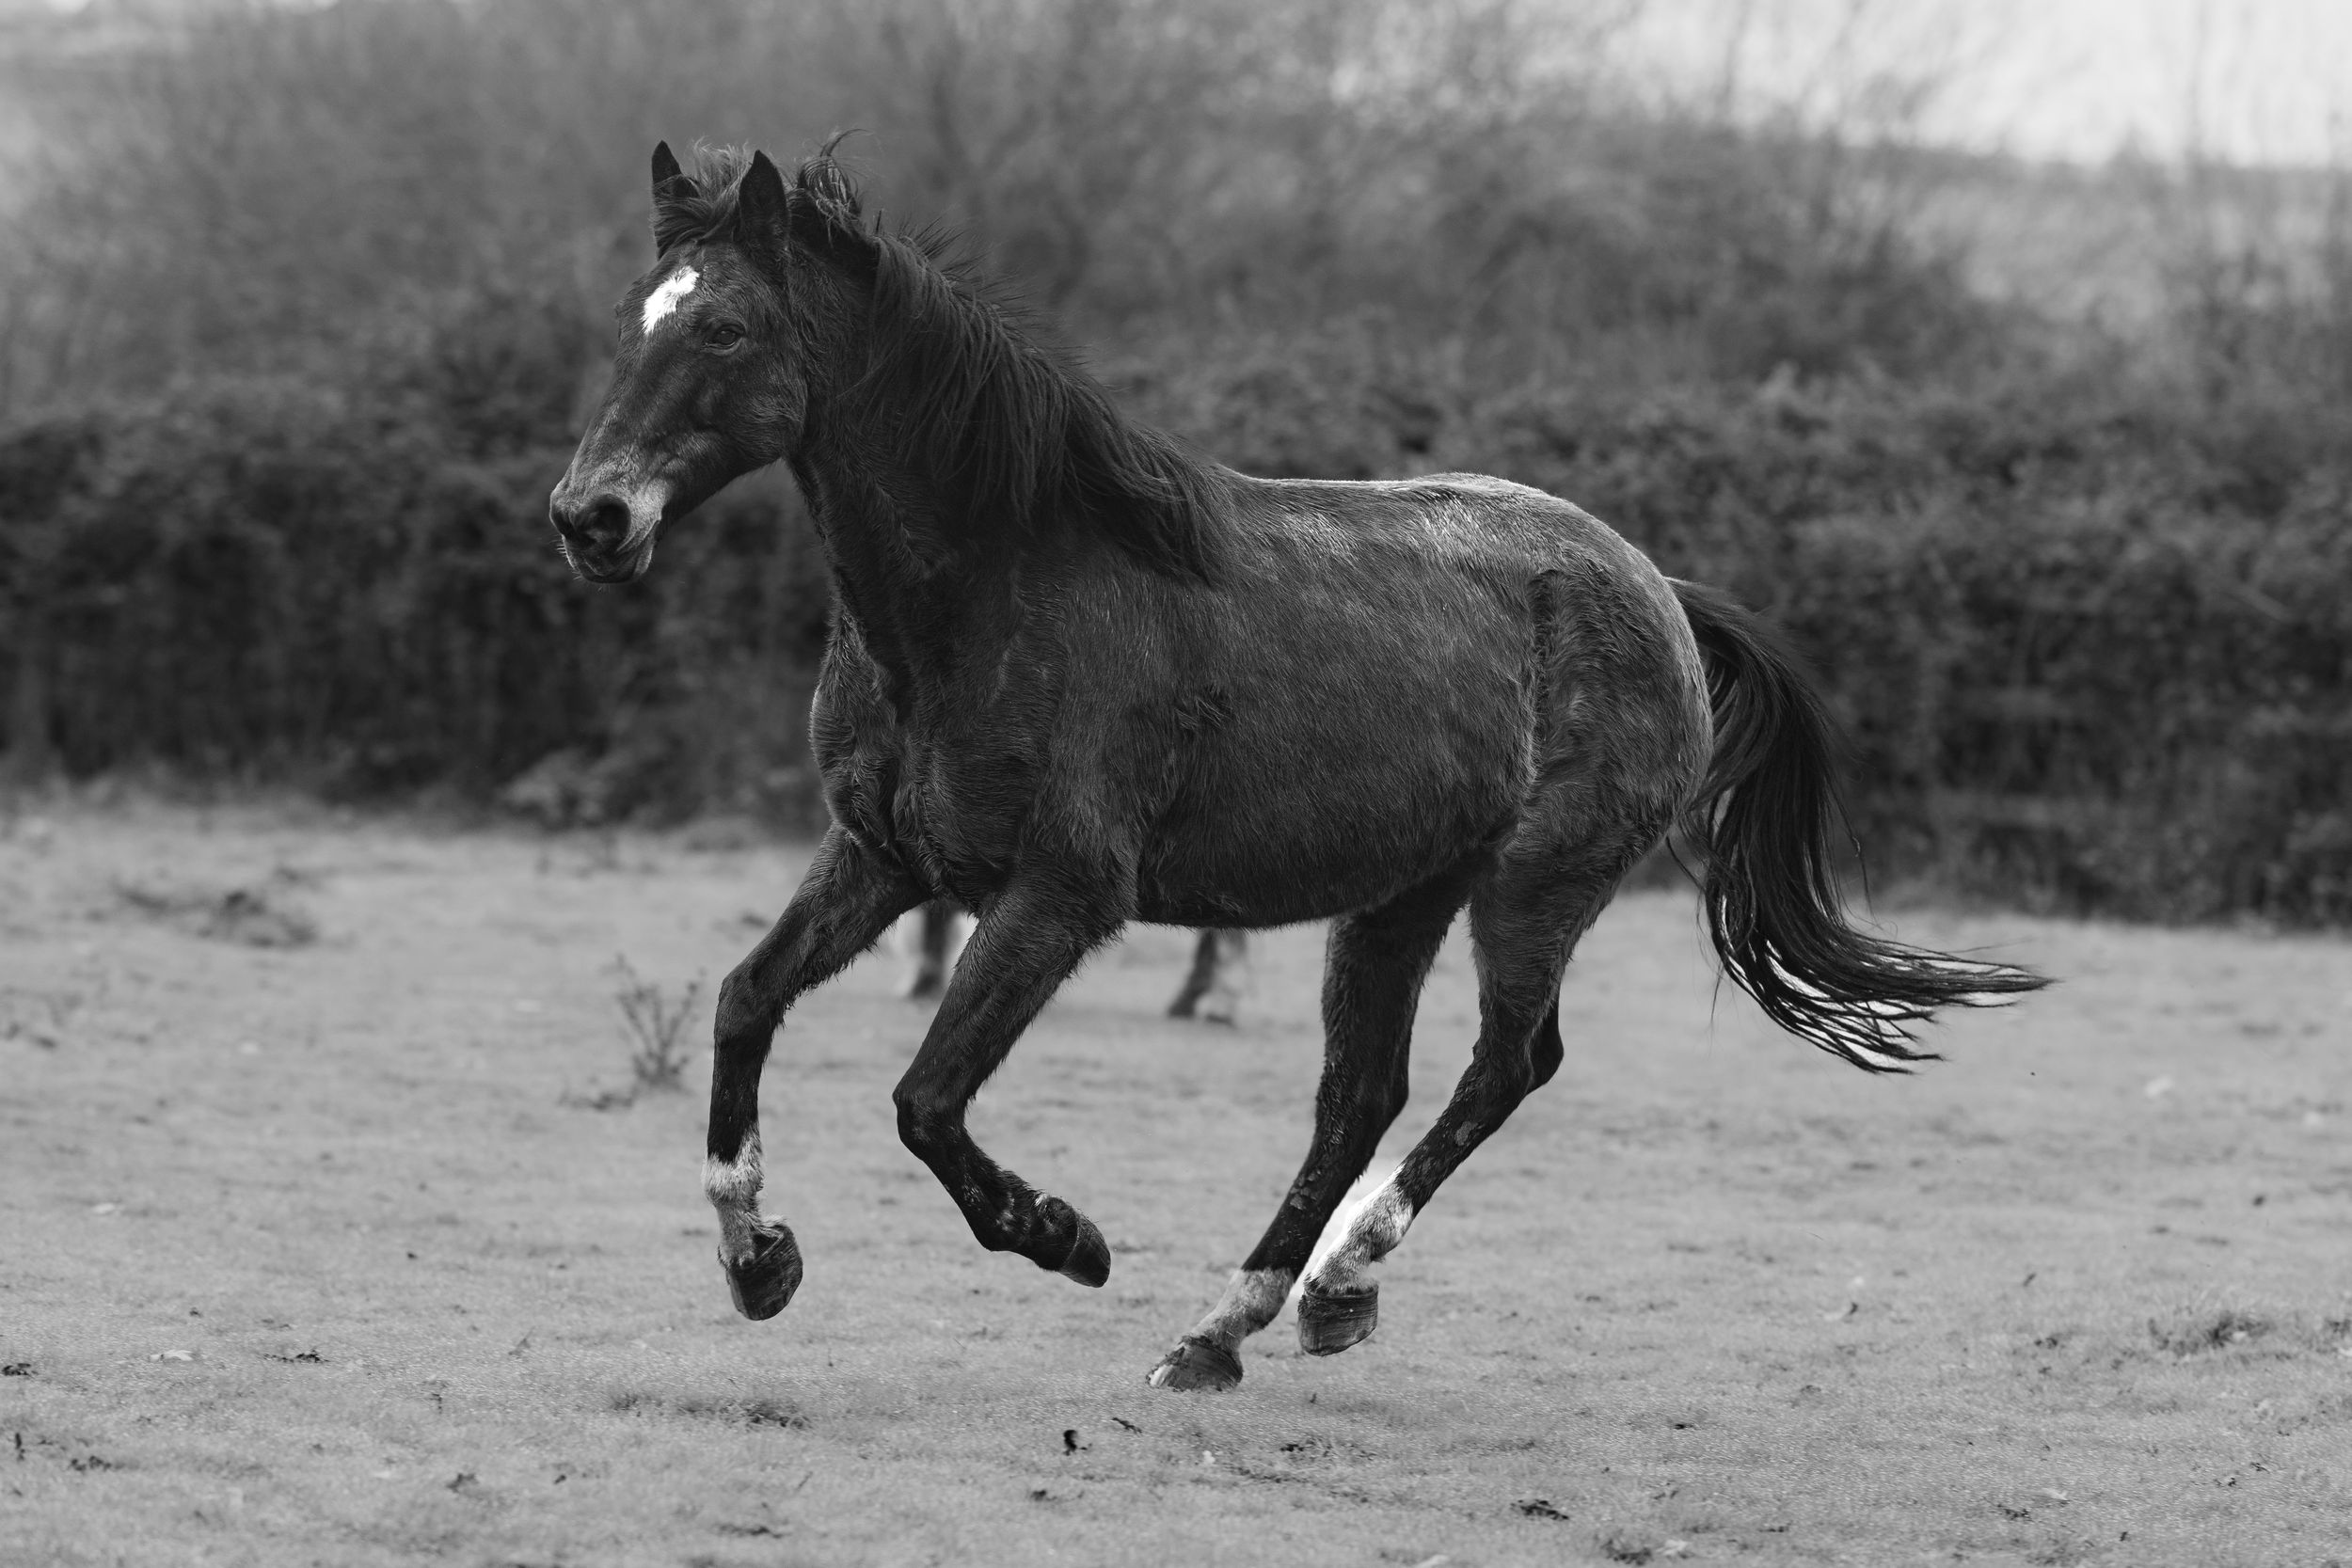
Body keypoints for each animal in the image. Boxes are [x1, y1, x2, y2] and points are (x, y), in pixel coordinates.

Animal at [547, 141, 2046, 1392]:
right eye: (633, 316)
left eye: (726, 326)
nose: (590, 516)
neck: (996, 587)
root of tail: (1658, 589)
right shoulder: (881, 857)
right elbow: (745, 1003)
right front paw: (759, 1260)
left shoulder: (1059, 895)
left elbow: (925, 1100)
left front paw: (1062, 1233)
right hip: (1396, 900)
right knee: (1358, 1098)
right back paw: (1235, 1323)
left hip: (1534, 888)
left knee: (1503, 1066)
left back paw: (1323, 1287)